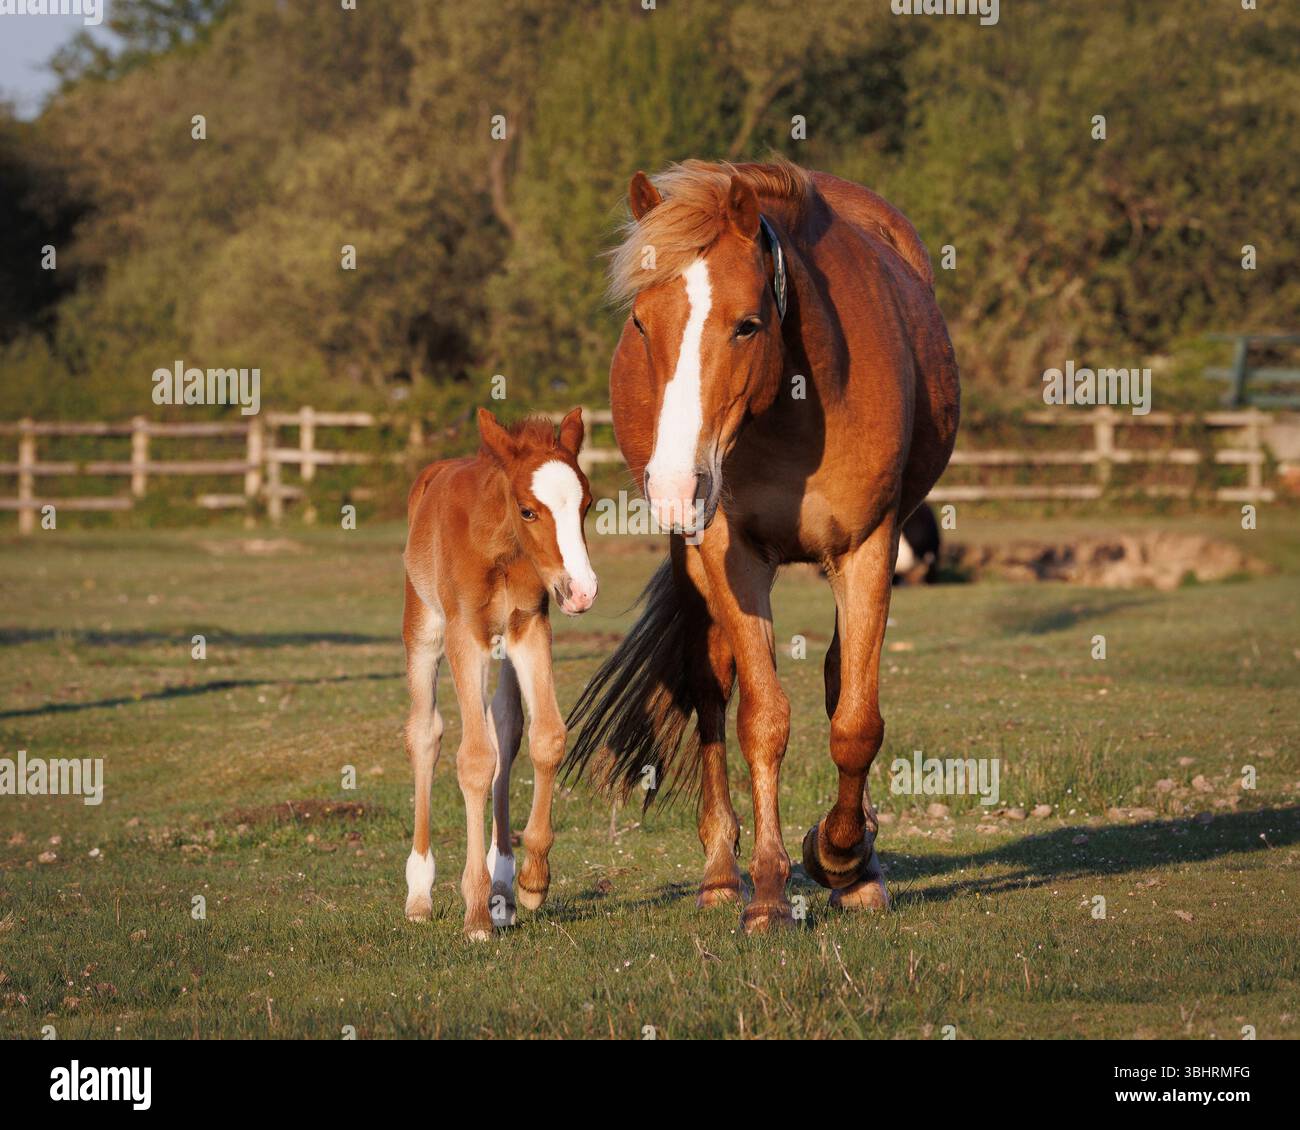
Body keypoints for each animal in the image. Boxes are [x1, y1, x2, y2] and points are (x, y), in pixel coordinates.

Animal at [402, 407, 597, 940]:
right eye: (528, 510)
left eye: (587, 505)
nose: (582, 591)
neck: (501, 549)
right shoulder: (463, 636)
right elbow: (472, 760)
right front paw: (473, 913)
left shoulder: (530, 628)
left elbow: (547, 737)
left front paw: (532, 881)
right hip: (423, 627)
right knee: (425, 733)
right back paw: (420, 892)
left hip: (503, 649)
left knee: (505, 728)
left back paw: (504, 887)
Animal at [564, 160, 959, 933]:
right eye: (640, 321)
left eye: (747, 325)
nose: (673, 485)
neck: (794, 409)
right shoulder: (731, 553)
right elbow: (762, 718)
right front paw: (772, 889)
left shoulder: (870, 547)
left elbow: (856, 719)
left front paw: (841, 856)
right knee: (710, 686)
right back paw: (722, 874)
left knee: (839, 680)